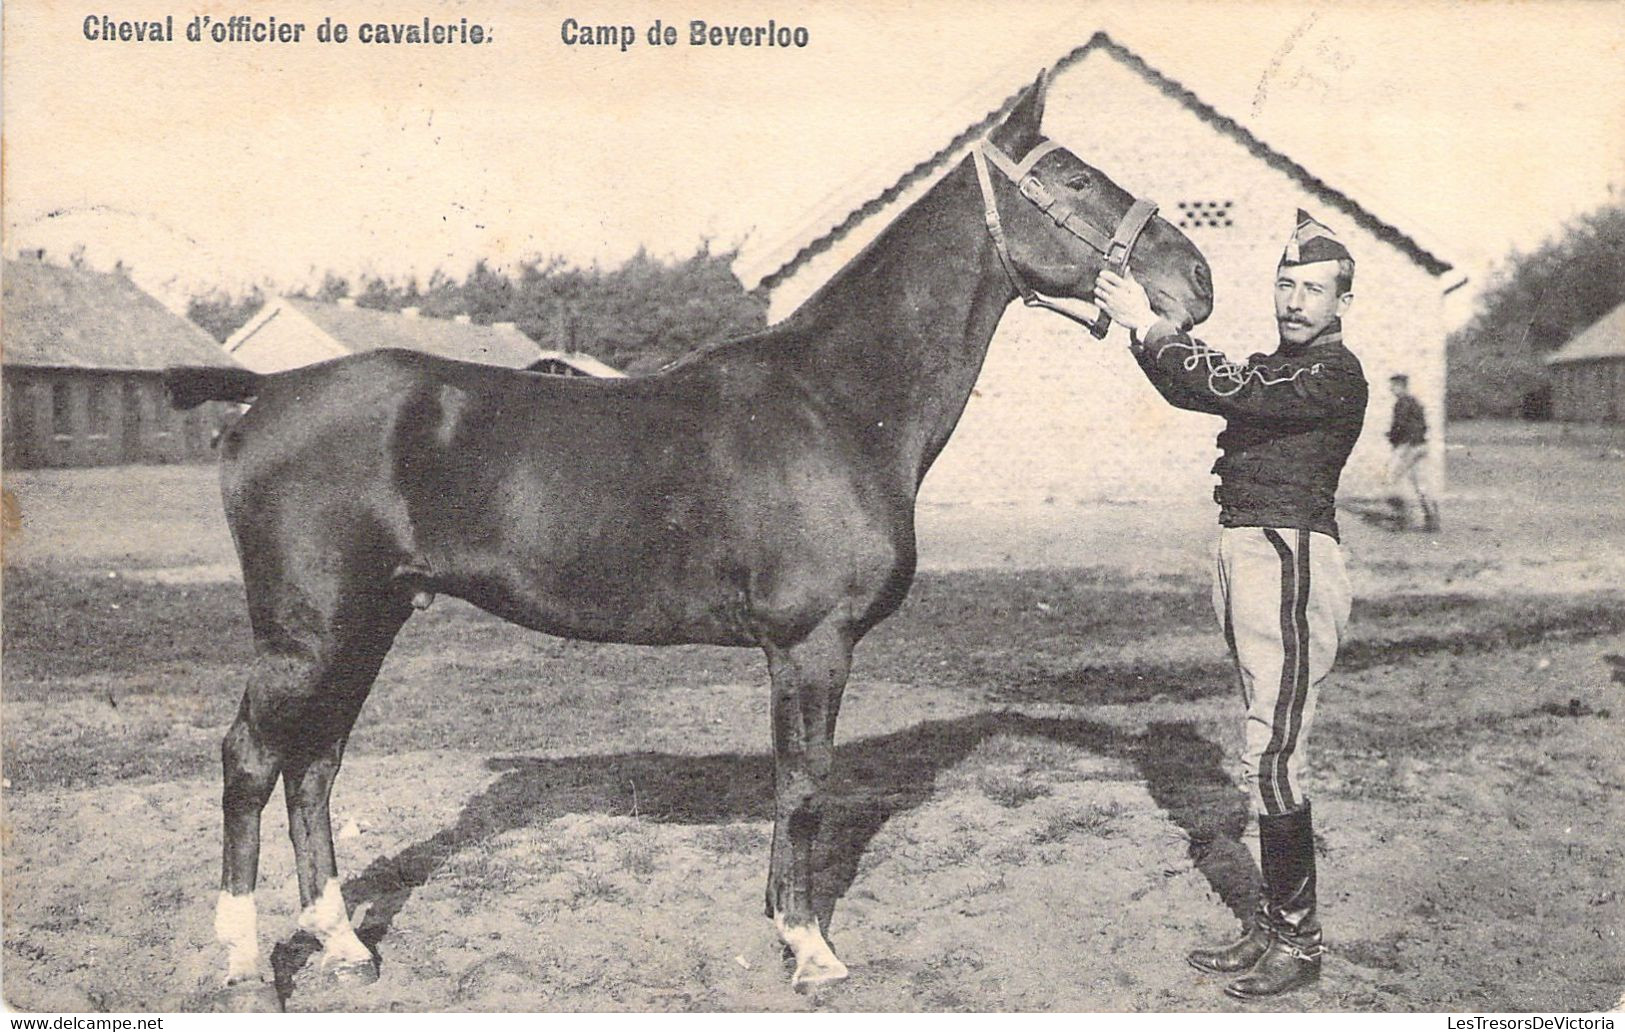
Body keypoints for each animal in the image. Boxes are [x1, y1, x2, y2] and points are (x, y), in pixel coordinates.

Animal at [164, 74, 1215, 1007]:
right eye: (1071, 176)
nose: (1196, 279)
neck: (836, 401)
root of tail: (266, 389)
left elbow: (794, 787)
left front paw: (784, 924)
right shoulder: (811, 644)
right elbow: (803, 787)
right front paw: (810, 949)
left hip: (369, 622)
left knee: (315, 764)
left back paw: (342, 944)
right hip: (308, 633)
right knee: (251, 759)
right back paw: (246, 963)